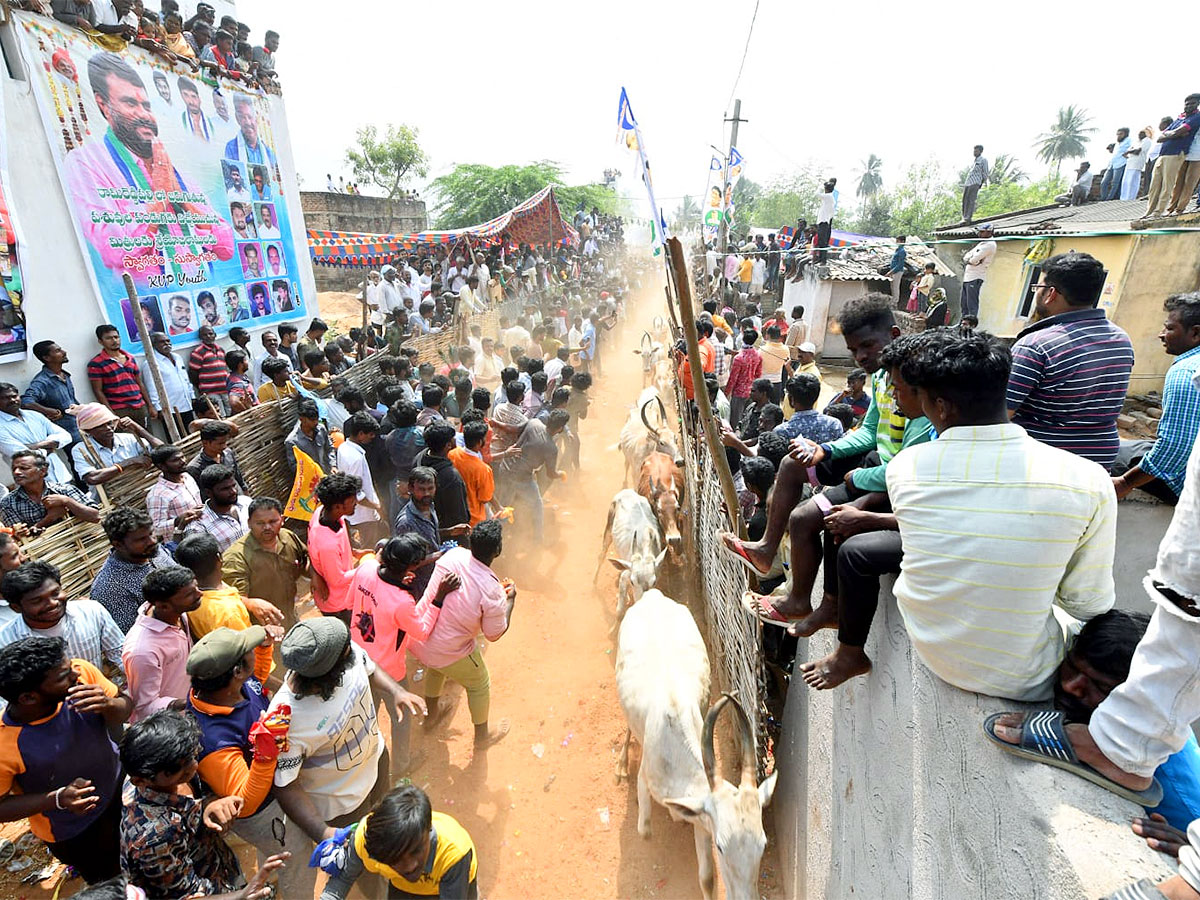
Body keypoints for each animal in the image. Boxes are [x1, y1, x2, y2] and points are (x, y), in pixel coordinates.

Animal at [595, 489, 672, 624]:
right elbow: (620, 611)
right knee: (601, 555)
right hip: (608, 529)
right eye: (632, 581)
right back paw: (594, 582)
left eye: (654, 582)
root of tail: (627, 491)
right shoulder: (626, 574)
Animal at [619, 592, 777, 900]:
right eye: (721, 846)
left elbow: (706, 878)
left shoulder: (702, 819)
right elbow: (645, 831)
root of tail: (652, 595)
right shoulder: (647, 779)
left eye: (763, 844)